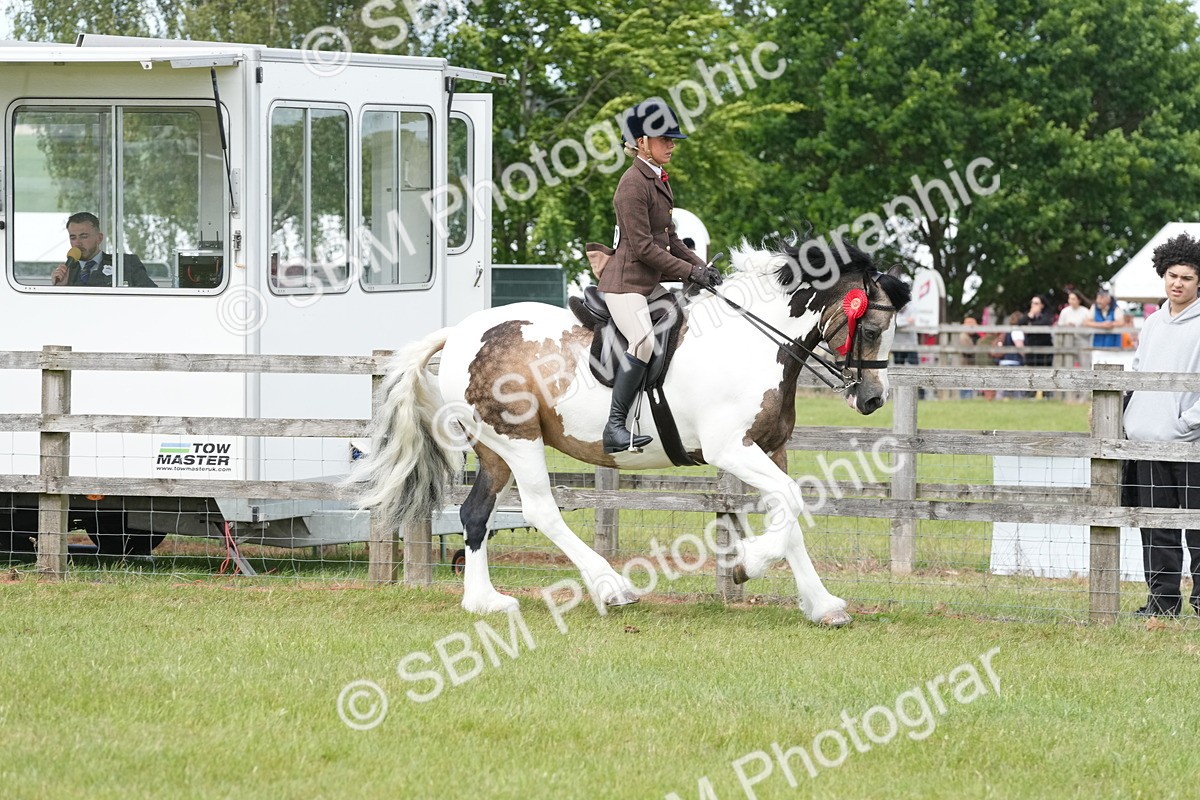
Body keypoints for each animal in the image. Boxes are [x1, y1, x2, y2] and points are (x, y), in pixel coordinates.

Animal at [354, 234, 911, 626]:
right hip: (518, 439)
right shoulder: (731, 449)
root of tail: (461, 332)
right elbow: (790, 505)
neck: (751, 340)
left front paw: (822, 605)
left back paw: (485, 602)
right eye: (872, 327)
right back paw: (610, 586)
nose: (873, 399)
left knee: (475, 513)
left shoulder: (771, 449)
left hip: (492, 447)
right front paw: (746, 565)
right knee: (540, 509)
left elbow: (789, 512)